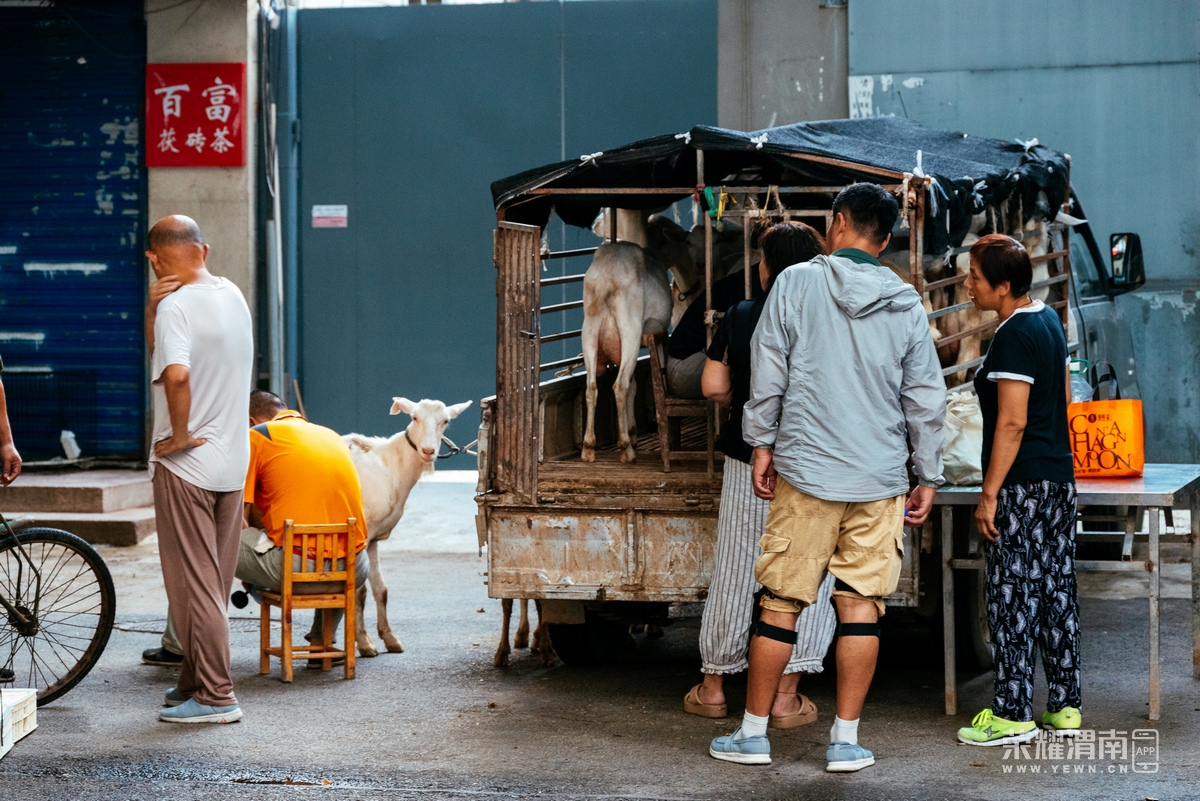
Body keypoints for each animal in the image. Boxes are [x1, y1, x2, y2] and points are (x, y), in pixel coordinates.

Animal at [344, 396, 472, 657]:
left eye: (446, 420)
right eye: (414, 417)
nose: (428, 451)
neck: (389, 465)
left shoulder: (373, 539)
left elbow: (380, 589)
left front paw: (390, 639)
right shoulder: (362, 532)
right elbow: (359, 592)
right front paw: (365, 644)